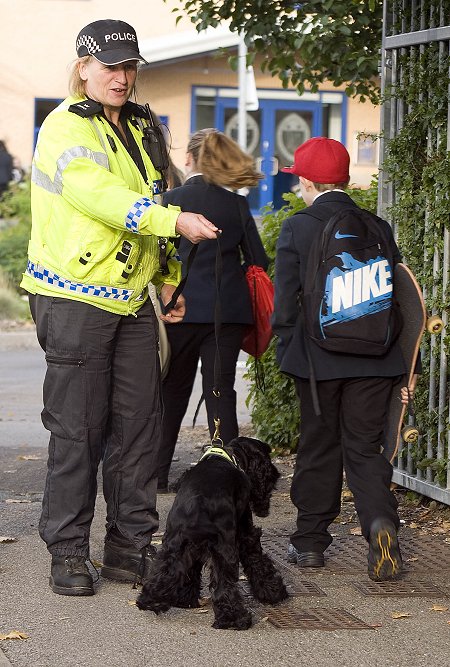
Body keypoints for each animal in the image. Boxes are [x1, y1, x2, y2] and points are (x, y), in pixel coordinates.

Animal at [135, 436, 288, 628]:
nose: (276, 474)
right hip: (224, 551)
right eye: (267, 458)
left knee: (164, 573)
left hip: (174, 545)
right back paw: (234, 619)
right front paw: (272, 592)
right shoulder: (246, 534)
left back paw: (152, 601)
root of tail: (197, 510)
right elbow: (258, 561)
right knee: (224, 587)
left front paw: (185, 599)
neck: (230, 455)